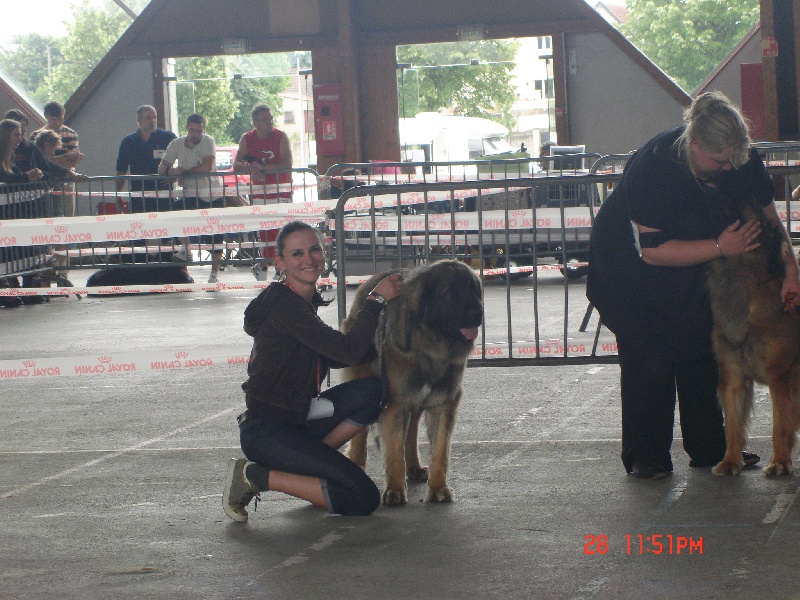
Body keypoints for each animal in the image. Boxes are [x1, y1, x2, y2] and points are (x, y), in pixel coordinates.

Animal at [342, 260, 482, 504]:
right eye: (449, 293)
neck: (430, 346)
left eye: (474, 290)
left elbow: (440, 450)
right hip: (364, 376)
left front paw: (438, 487)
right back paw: (357, 462)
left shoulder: (443, 401)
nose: (478, 313)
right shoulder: (394, 402)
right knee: (362, 433)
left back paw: (414, 467)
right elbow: (394, 450)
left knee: (412, 429)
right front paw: (396, 490)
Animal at [708, 199, 800, 476]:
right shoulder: (733, 375)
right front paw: (730, 461)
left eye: (735, 200)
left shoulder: (779, 376)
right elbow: (733, 425)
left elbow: (780, 426)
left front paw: (780, 462)